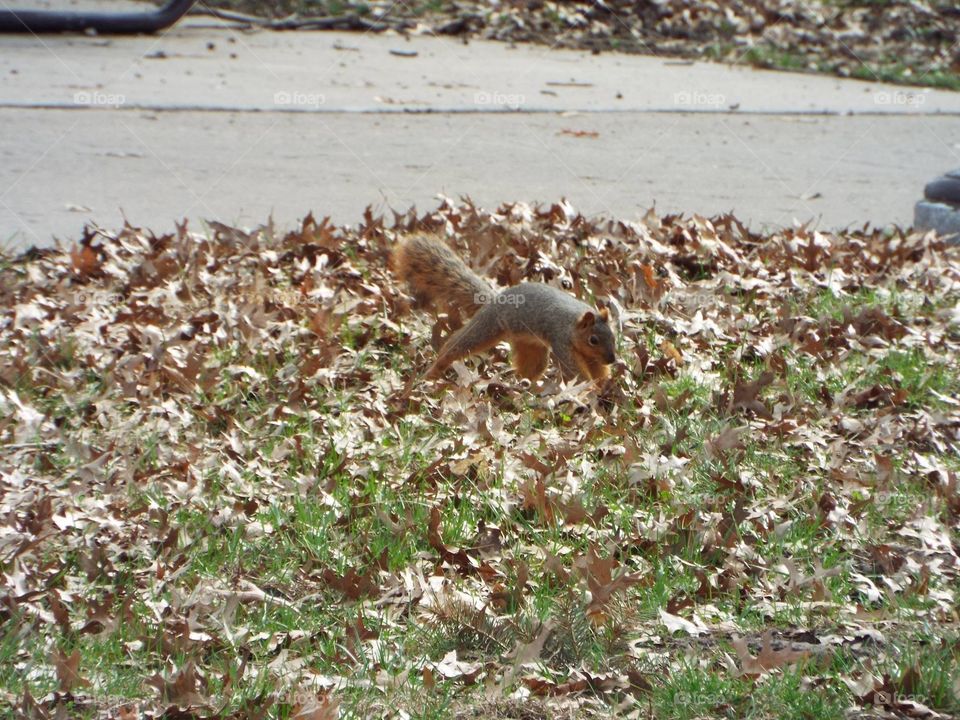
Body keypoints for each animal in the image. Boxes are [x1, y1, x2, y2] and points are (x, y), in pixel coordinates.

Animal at [392, 234, 616, 383]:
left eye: (613, 337)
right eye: (593, 340)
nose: (612, 359)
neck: (573, 323)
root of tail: (494, 299)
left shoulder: (590, 356)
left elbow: (597, 370)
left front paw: (604, 384)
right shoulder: (561, 341)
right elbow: (575, 372)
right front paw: (591, 389)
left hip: (529, 342)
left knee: (530, 367)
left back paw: (527, 386)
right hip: (487, 327)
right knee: (457, 344)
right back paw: (434, 370)